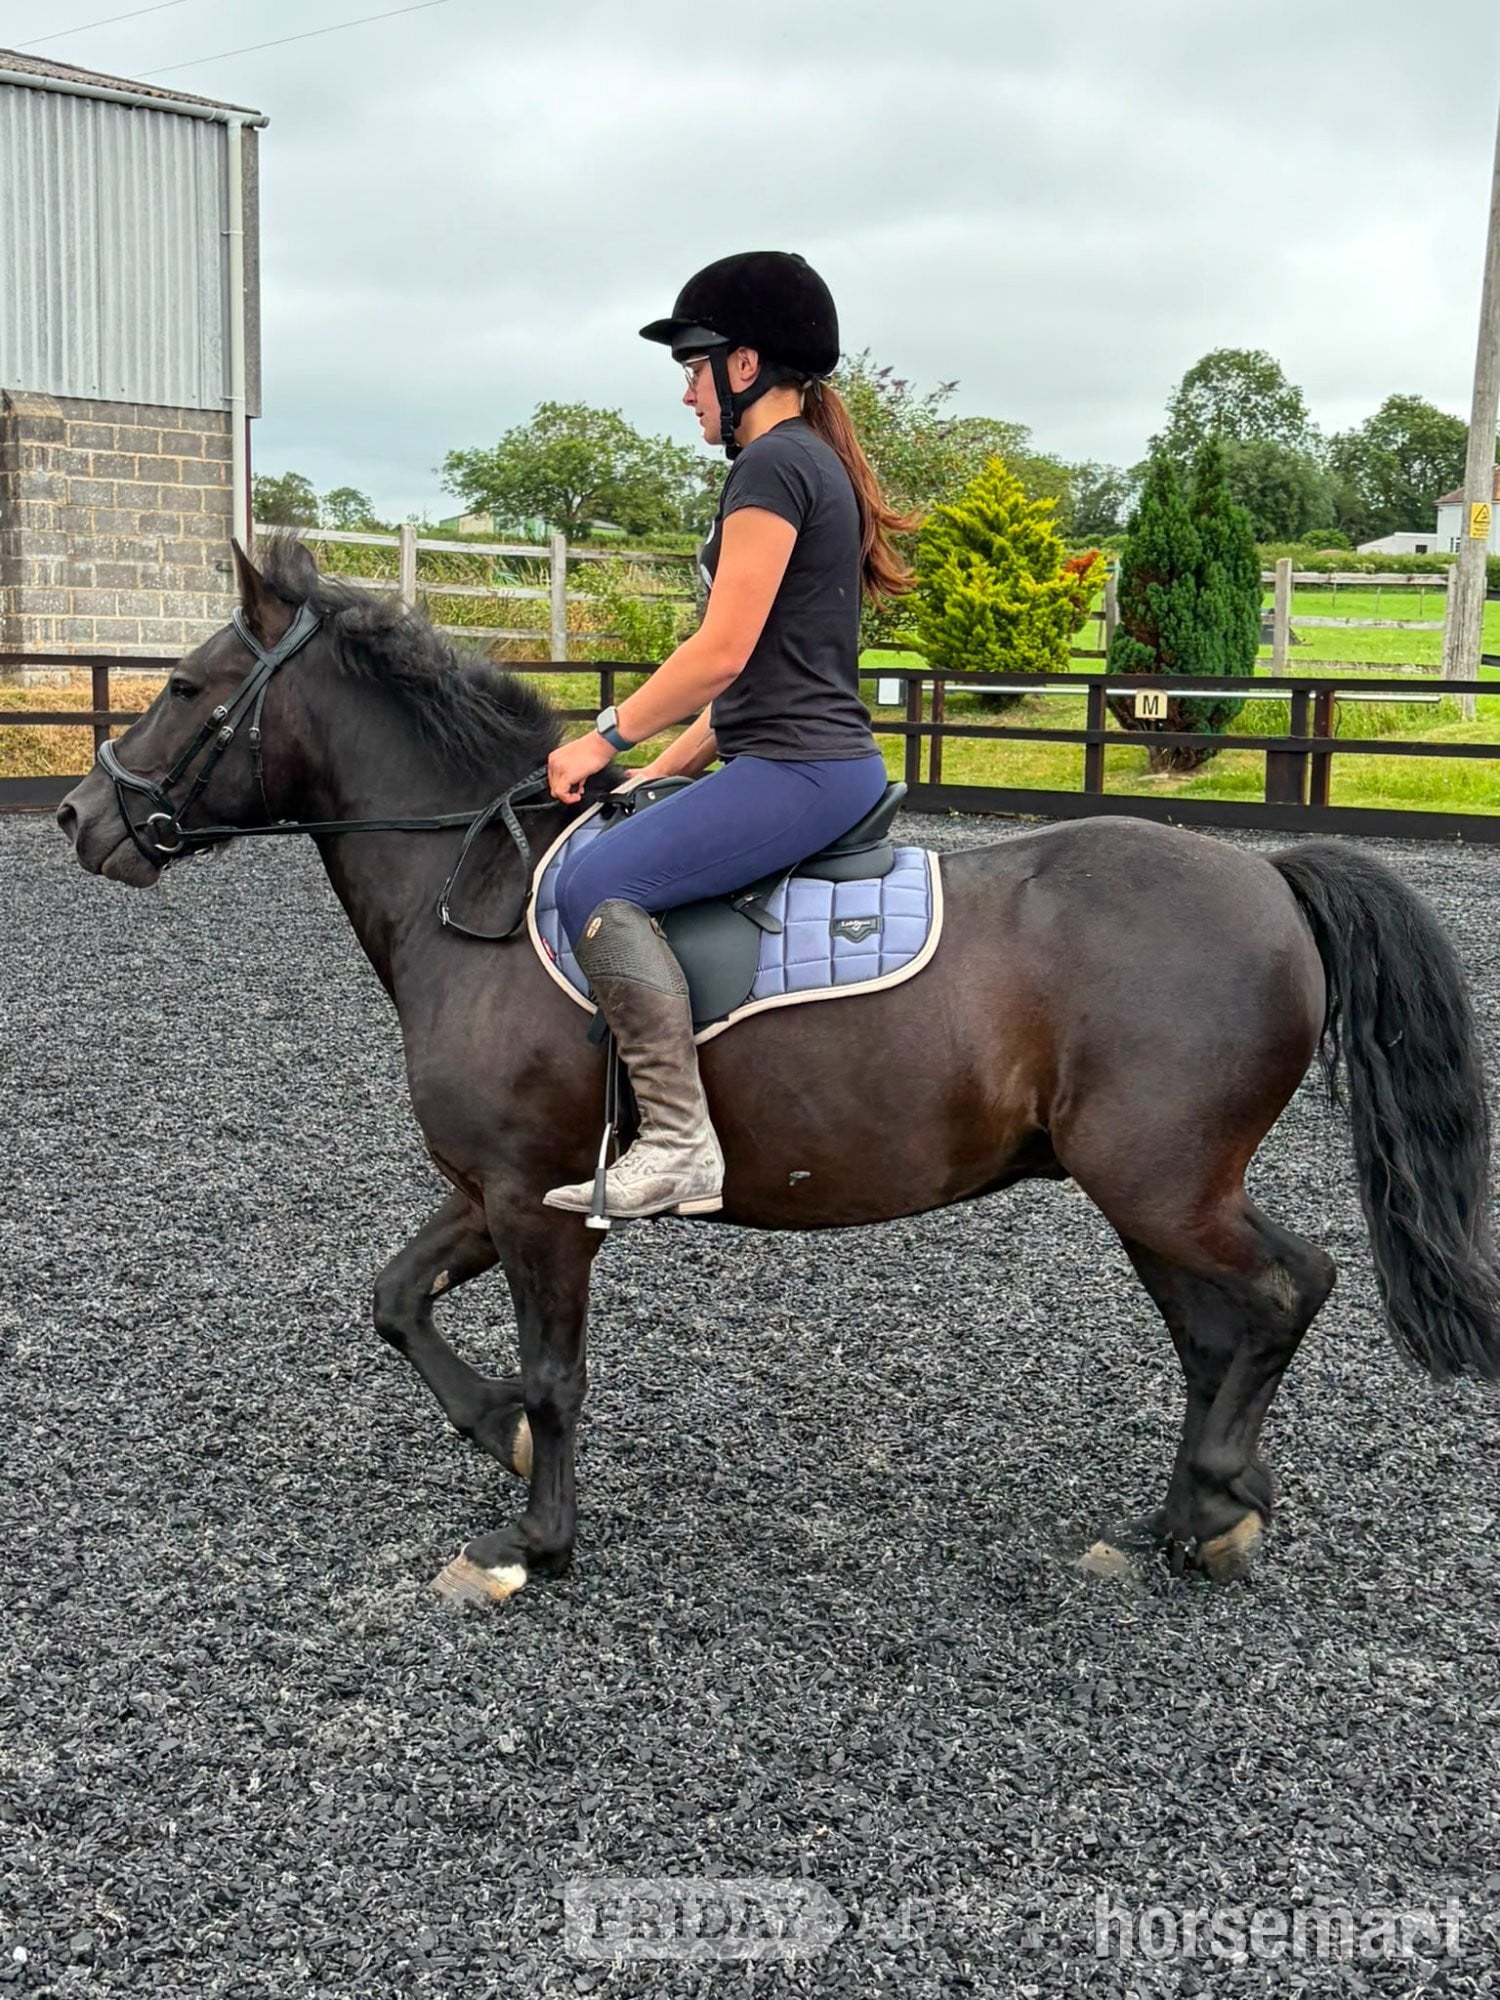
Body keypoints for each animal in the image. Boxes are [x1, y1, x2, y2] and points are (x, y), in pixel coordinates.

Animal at [55, 538, 1500, 1608]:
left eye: (185, 689)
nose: (78, 815)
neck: (479, 894)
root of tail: (1268, 875)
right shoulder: (494, 1190)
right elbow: (395, 1300)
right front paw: (498, 1439)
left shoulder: (537, 1204)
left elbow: (554, 1372)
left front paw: (536, 1541)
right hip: (1150, 1192)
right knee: (1218, 1327)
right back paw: (1187, 1515)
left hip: (1162, 1181)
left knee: (1285, 1292)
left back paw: (1214, 1503)